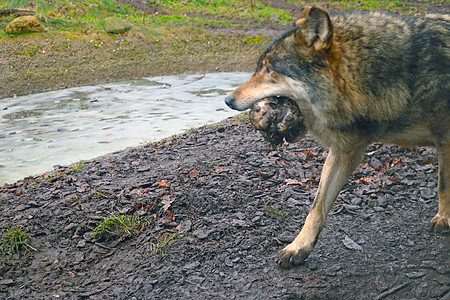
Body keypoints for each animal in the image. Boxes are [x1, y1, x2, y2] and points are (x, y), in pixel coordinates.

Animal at [225, 5, 450, 268]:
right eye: (259, 67)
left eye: (269, 69)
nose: (227, 100)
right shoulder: (344, 151)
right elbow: (317, 206)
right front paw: (298, 247)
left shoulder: (445, 139)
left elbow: (443, 184)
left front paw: (444, 219)